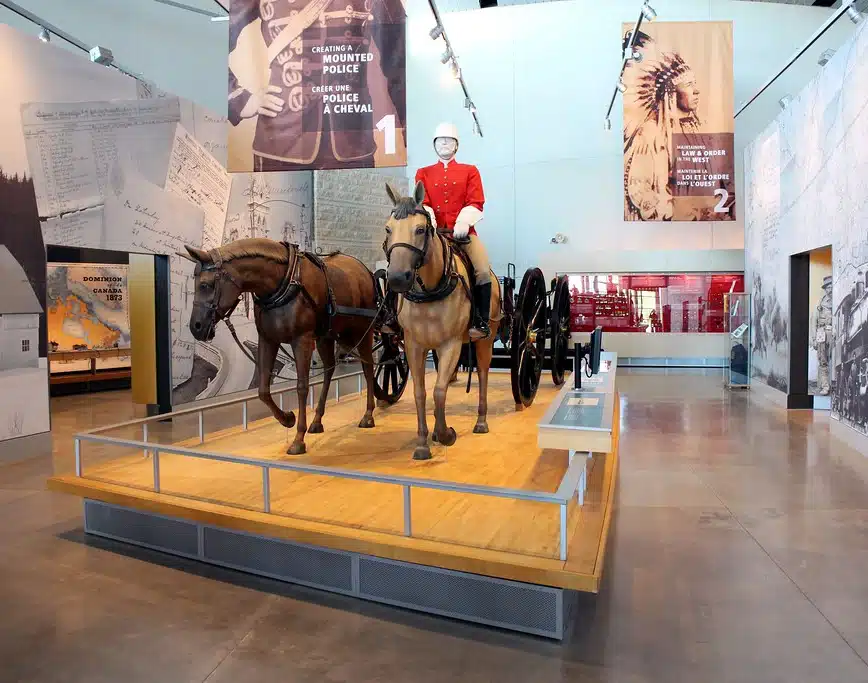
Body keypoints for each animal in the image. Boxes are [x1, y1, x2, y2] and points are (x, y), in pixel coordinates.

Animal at [181, 238, 378, 456]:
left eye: (205, 285)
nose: (196, 327)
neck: (283, 282)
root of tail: (364, 270)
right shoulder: (268, 340)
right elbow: (263, 390)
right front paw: (287, 419)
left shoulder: (302, 340)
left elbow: (302, 386)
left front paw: (298, 439)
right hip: (327, 335)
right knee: (329, 369)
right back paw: (317, 420)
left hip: (363, 331)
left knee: (368, 367)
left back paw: (368, 414)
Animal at [382, 182, 502, 462]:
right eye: (388, 229)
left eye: (420, 229)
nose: (397, 279)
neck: (430, 290)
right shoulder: (414, 345)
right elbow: (421, 392)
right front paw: (423, 442)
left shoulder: (452, 344)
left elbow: (439, 390)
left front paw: (445, 433)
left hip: (487, 338)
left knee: (482, 373)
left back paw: (481, 421)